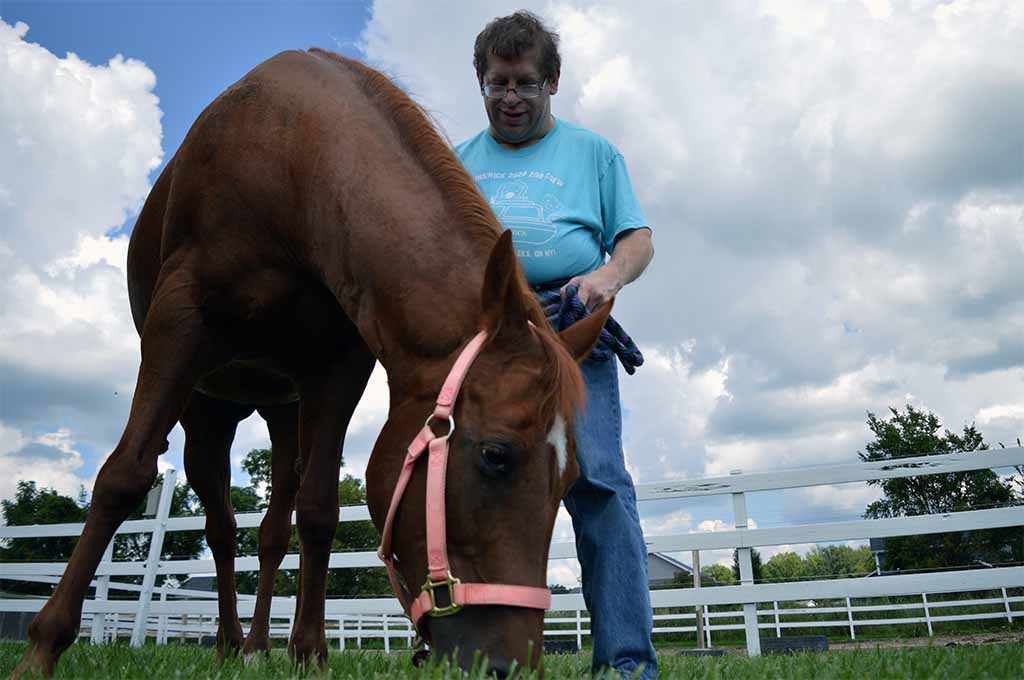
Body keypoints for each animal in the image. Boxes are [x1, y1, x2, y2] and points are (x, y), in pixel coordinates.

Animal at [9, 49, 606, 680]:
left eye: (568, 478)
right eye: (496, 455)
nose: (511, 663)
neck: (293, 163)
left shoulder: (338, 368)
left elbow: (318, 511)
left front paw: (309, 650)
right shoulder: (178, 325)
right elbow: (122, 478)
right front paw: (42, 648)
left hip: (282, 416)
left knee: (271, 532)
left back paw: (255, 643)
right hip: (207, 411)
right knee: (220, 527)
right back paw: (226, 641)